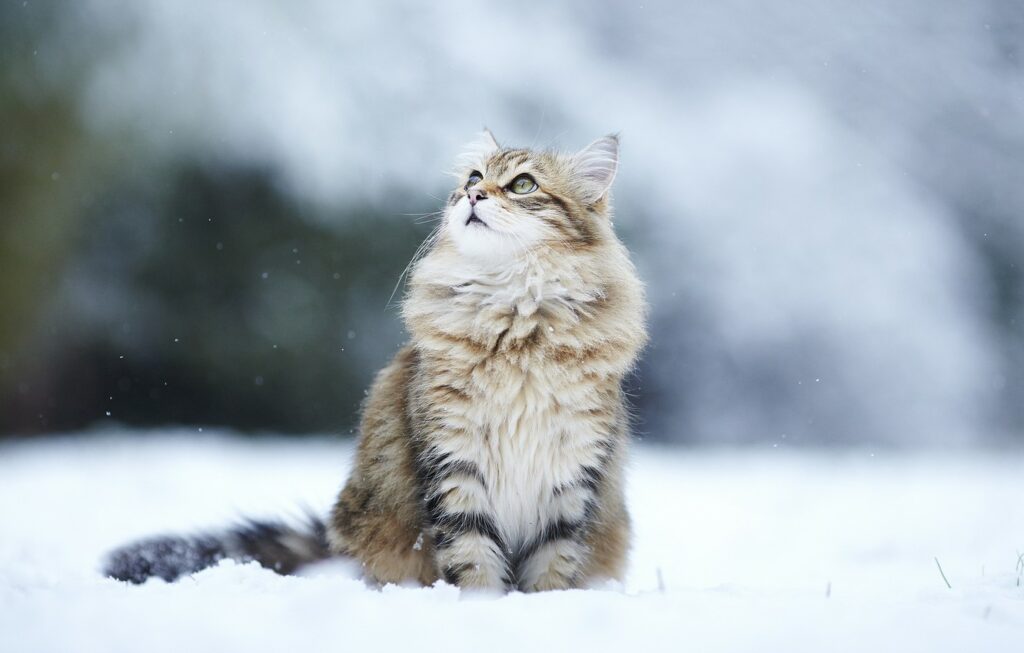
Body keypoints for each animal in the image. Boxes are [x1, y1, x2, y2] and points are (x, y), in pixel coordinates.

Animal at [103, 132, 647, 593]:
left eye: (523, 184)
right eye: (473, 177)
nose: (474, 196)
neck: (516, 324)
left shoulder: (573, 473)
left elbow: (553, 568)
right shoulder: (453, 462)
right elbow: (472, 561)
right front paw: (480, 607)